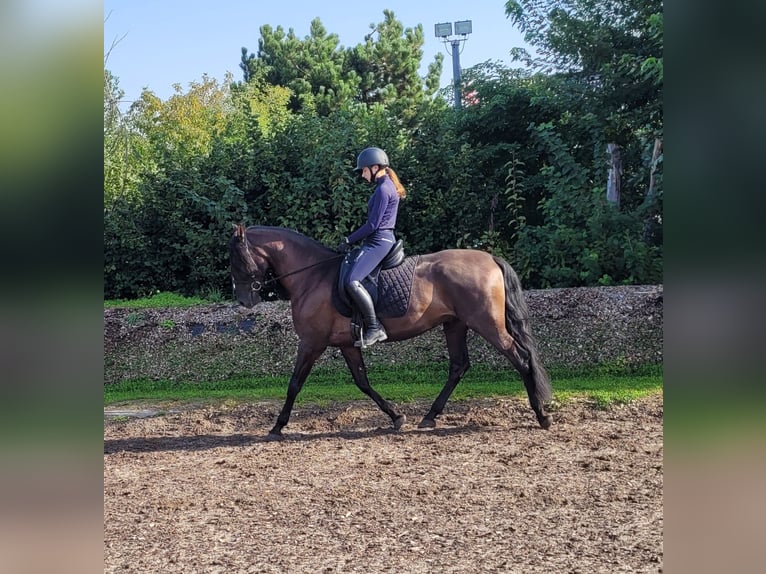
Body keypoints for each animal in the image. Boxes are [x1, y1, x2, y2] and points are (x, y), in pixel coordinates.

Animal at [228, 223, 552, 438]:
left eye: (237, 258)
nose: (244, 301)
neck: (313, 275)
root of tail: (490, 259)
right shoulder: (347, 344)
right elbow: (362, 382)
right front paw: (396, 417)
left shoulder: (311, 343)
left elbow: (295, 383)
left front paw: (277, 426)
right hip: (455, 324)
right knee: (459, 366)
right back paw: (429, 417)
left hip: (487, 324)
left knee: (520, 359)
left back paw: (541, 415)